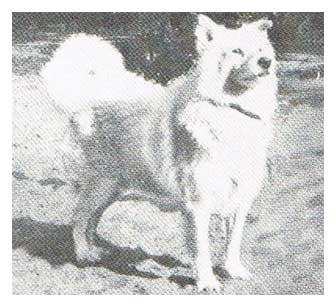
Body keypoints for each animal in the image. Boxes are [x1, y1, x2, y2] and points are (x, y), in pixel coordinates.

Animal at [42, 14, 276, 294]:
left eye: (261, 50)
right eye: (237, 51)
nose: (266, 62)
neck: (230, 110)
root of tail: (86, 97)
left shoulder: (240, 196)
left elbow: (233, 240)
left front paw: (233, 270)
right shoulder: (198, 202)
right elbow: (202, 248)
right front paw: (206, 281)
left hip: (112, 189)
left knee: (91, 219)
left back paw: (95, 248)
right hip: (99, 184)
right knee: (78, 218)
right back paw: (84, 254)